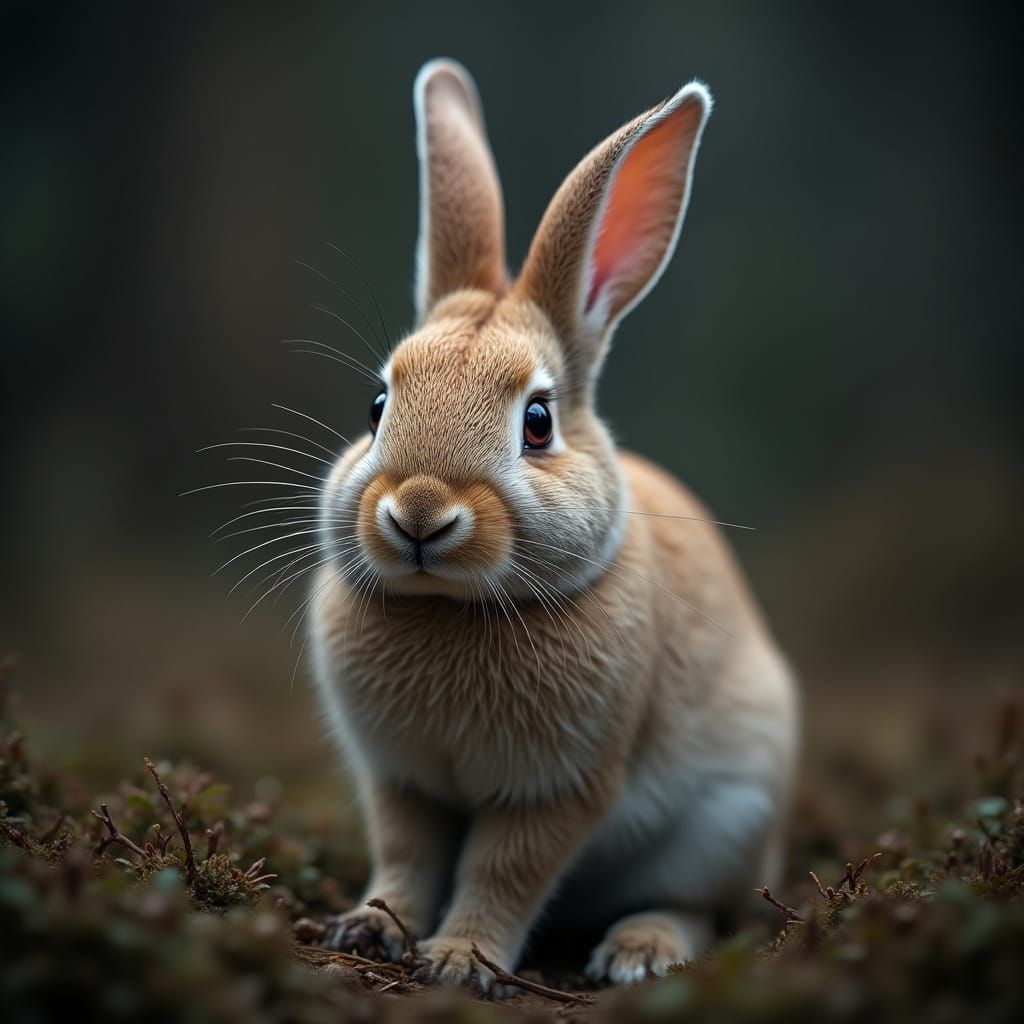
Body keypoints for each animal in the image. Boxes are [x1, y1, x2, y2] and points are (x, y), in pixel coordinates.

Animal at [311, 58, 798, 990]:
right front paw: (370, 928)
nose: (418, 512)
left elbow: (503, 871)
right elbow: (407, 857)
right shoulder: (401, 780)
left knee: (700, 909)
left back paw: (641, 952)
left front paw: (458, 962)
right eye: (377, 406)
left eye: (537, 423)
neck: (450, 608)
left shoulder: (558, 789)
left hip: (724, 822)